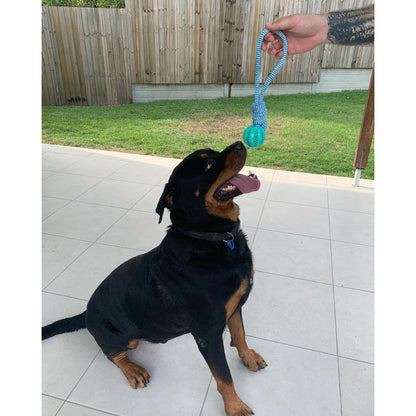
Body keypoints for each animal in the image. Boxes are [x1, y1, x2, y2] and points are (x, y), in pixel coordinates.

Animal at [43, 141, 266, 414]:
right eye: (209, 164)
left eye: (213, 152)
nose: (240, 143)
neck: (212, 238)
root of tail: (85, 314)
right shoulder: (208, 333)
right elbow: (223, 375)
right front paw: (235, 406)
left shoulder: (235, 306)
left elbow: (240, 334)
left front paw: (248, 356)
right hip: (117, 336)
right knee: (111, 353)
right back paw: (133, 370)